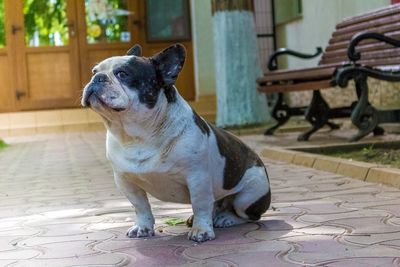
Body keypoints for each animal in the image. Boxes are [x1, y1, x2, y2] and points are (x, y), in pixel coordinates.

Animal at [80, 44, 272, 243]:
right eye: (94, 71)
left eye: (123, 74)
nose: (97, 78)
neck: (138, 135)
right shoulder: (125, 180)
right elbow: (140, 206)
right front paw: (143, 227)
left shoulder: (197, 177)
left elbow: (200, 204)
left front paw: (202, 230)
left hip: (249, 195)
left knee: (248, 216)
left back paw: (226, 218)